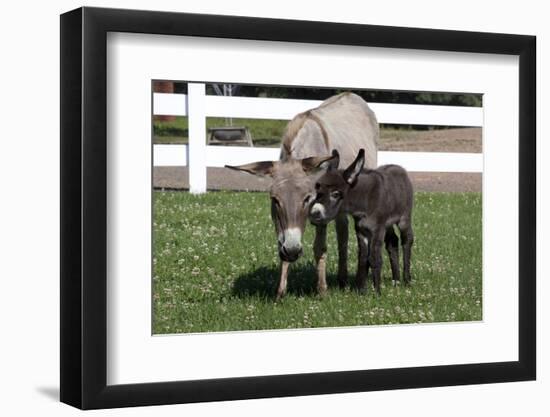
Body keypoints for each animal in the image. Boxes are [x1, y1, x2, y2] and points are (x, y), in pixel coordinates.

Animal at [310, 148, 414, 294]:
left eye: (335, 194)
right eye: (318, 191)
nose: (314, 215)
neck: (364, 201)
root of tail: (398, 167)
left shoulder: (377, 230)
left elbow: (374, 258)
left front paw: (377, 292)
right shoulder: (361, 230)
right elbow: (363, 258)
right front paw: (361, 290)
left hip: (404, 218)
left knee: (407, 240)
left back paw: (407, 280)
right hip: (388, 225)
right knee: (392, 242)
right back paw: (396, 281)